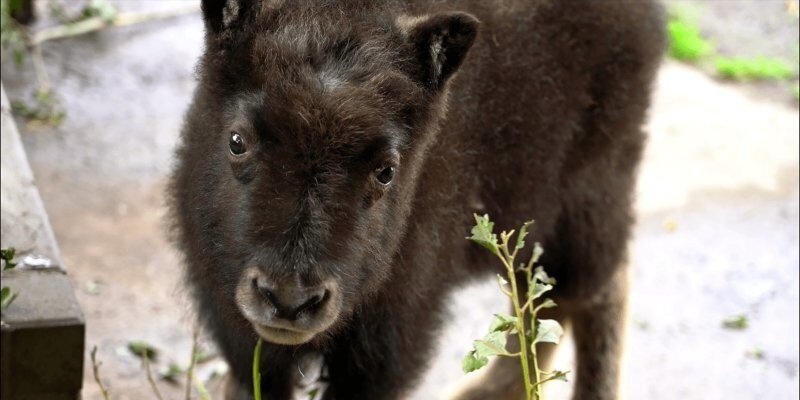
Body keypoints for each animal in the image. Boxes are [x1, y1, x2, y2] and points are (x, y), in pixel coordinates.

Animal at [169, 1, 664, 398]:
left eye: (387, 170)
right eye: (237, 141)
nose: (290, 300)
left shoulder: (387, 345)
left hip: (587, 196)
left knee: (588, 291)